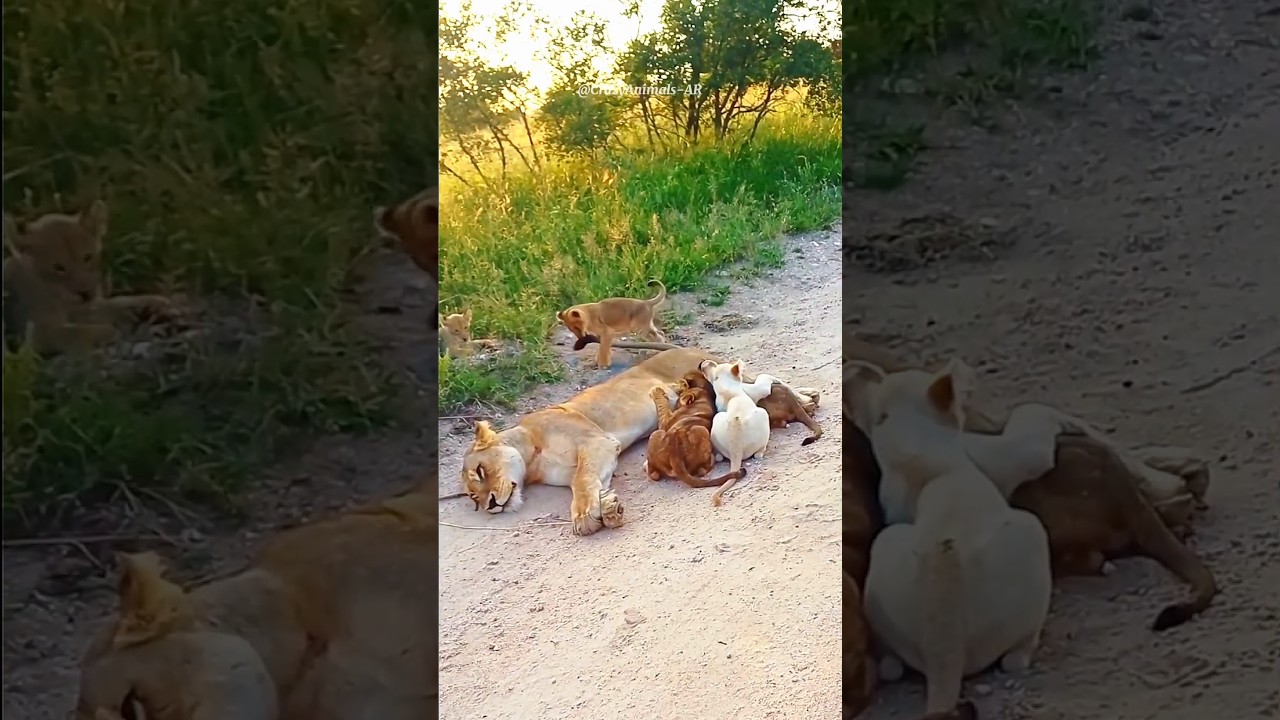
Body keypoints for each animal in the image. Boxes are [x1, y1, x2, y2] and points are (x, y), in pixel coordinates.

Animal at [3, 200, 175, 355]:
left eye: (87, 258)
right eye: (58, 268)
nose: (85, 293)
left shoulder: (84, 307)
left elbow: (112, 303)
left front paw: (153, 303)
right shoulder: (35, 336)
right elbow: (73, 332)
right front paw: (108, 331)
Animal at [460, 347, 816, 536]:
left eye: (480, 471)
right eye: (472, 497)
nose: (489, 505)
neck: (530, 460)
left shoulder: (597, 442)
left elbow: (582, 481)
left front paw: (586, 517)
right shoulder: (598, 456)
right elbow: (589, 483)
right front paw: (607, 508)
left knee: (769, 380)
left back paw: (808, 398)